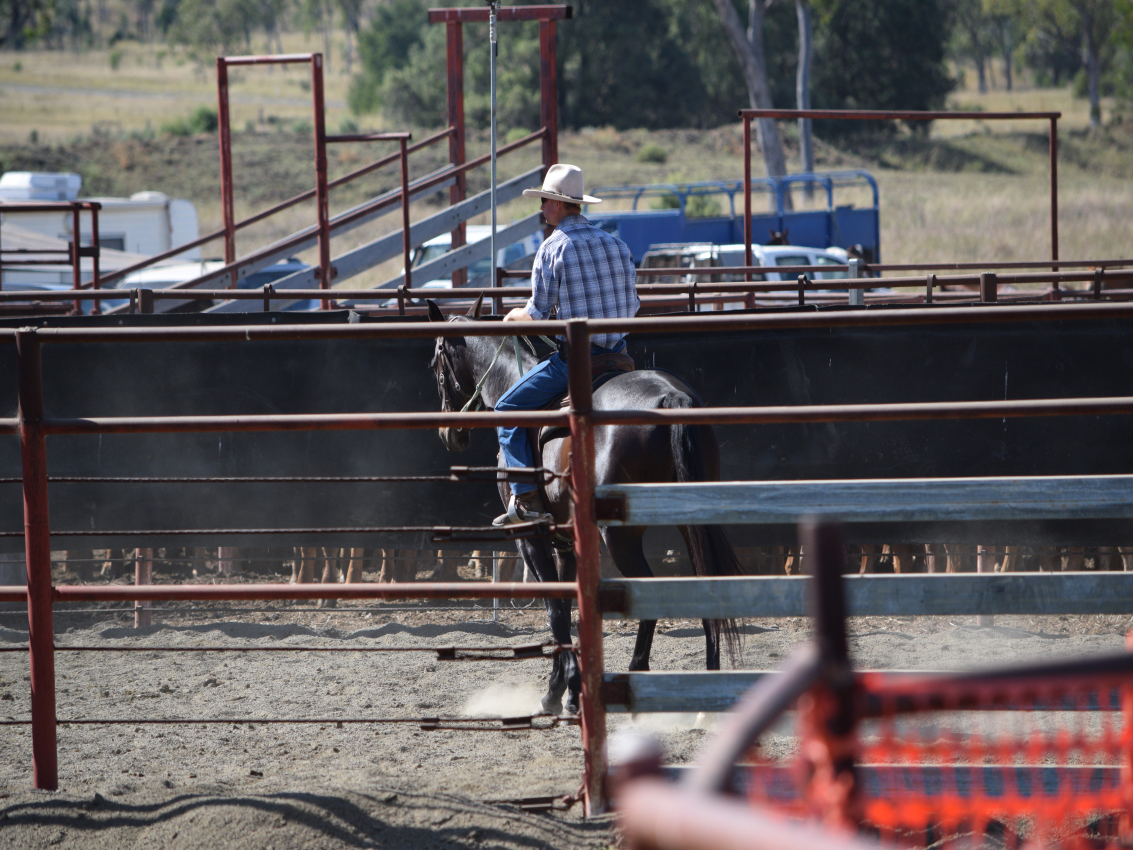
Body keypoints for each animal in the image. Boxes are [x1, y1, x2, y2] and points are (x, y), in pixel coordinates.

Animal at [427, 296, 746, 715]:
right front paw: (567, 689)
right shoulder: (567, 542)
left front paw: (559, 694)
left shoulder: (530, 535)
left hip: (619, 535)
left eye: (435, 364)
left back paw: (635, 677)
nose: (449, 434)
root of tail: (670, 398)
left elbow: (556, 611)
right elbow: (570, 608)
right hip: (693, 521)